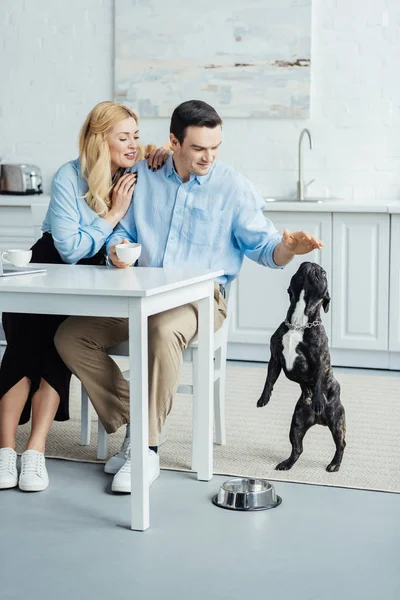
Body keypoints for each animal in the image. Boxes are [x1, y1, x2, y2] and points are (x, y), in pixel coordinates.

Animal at [256, 262, 346, 474]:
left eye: (323, 273)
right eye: (299, 268)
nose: (312, 264)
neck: (298, 323)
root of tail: (319, 420)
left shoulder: (320, 360)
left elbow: (320, 380)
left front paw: (318, 400)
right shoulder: (275, 358)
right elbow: (269, 379)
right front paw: (264, 398)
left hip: (337, 421)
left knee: (341, 443)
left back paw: (335, 464)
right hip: (296, 424)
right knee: (297, 448)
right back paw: (286, 463)